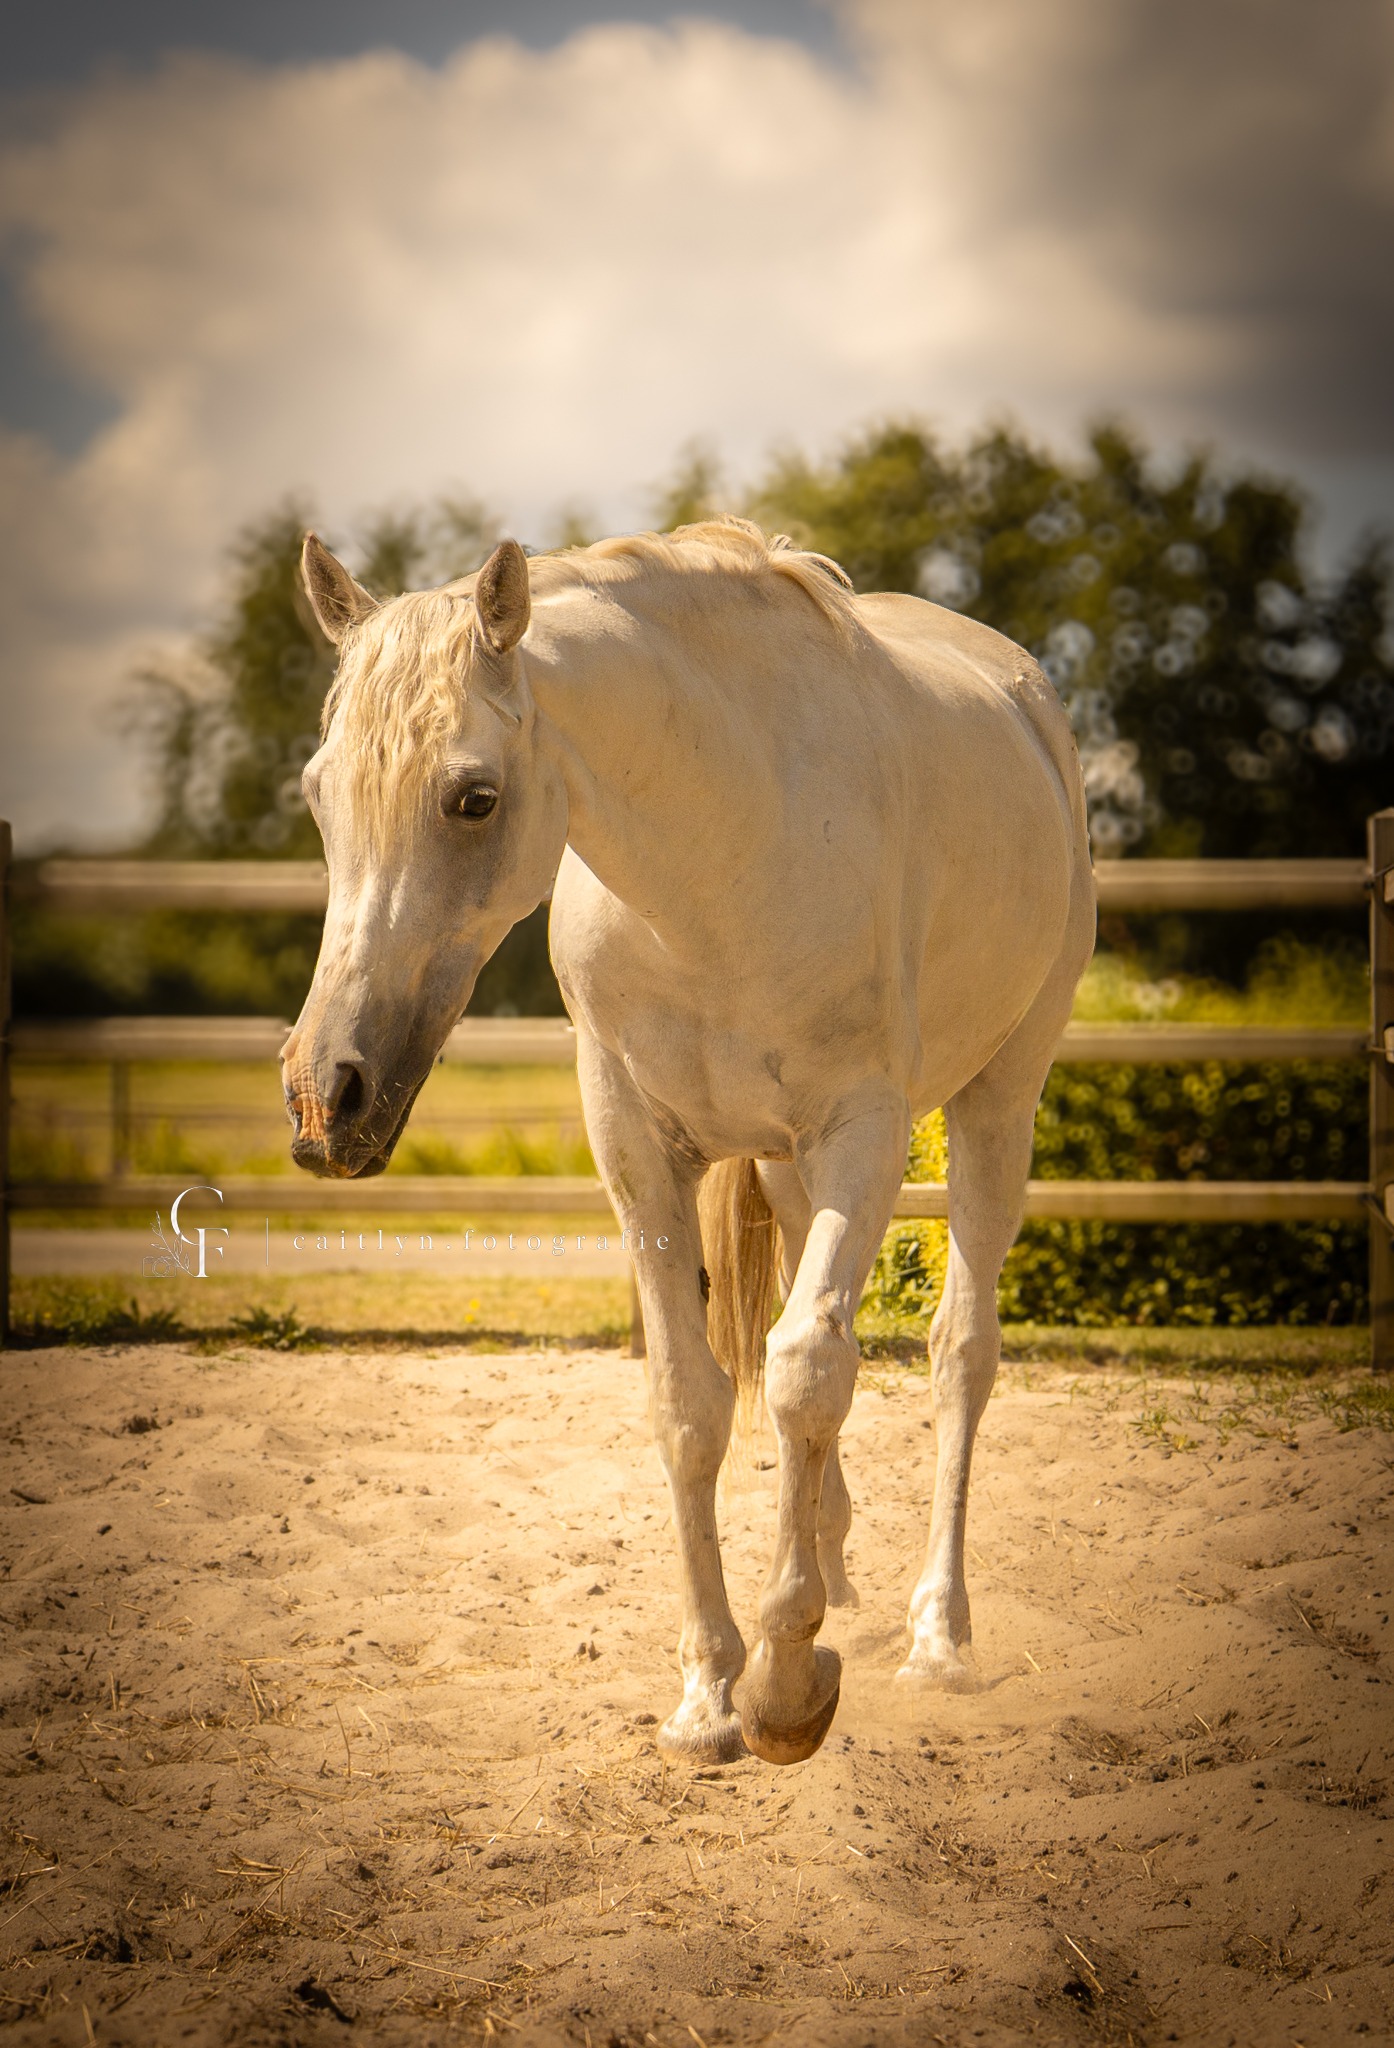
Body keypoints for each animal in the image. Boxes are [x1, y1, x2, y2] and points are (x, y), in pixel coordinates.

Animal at [282, 517, 1095, 1767]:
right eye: (320, 795)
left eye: (472, 797)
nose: (329, 1095)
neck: (719, 856)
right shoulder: (636, 1145)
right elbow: (691, 1402)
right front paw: (710, 1689)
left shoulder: (864, 1132)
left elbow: (808, 1370)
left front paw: (784, 1685)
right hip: (784, 1164)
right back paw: (835, 1565)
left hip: (992, 1107)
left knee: (957, 1351)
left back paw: (935, 1637)